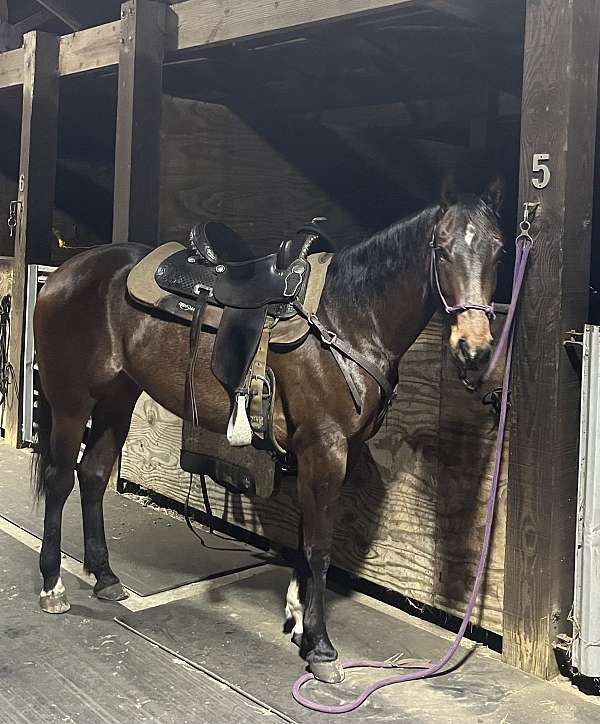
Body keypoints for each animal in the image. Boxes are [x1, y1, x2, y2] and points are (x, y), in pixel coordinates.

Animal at [32, 177, 505, 684]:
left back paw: (105, 578)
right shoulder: (326, 449)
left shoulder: (319, 452)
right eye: (441, 250)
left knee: (94, 475)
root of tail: (66, 272)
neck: (349, 320)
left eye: (499, 251)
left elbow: (303, 534)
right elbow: (319, 546)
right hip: (71, 402)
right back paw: (52, 587)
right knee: (60, 480)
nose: (474, 349)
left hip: (118, 399)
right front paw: (321, 647)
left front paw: (298, 619)